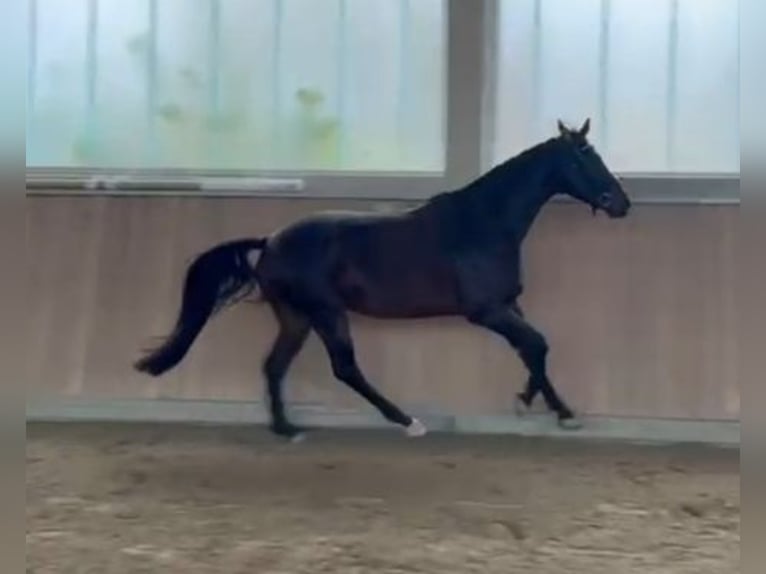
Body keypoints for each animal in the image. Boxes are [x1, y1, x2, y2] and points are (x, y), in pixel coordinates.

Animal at [135, 120, 632, 440]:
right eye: (585, 159)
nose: (620, 203)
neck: (484, 223)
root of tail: (271, 241)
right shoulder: (486, 310)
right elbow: (535, 344)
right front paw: (563, 413)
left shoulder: (508, 304)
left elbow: (533, 347)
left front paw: (530, 400)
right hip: (326, 312)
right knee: (344, 367)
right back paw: (406, 421)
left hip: (297, 317)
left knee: (275, 365)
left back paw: (286, 429)